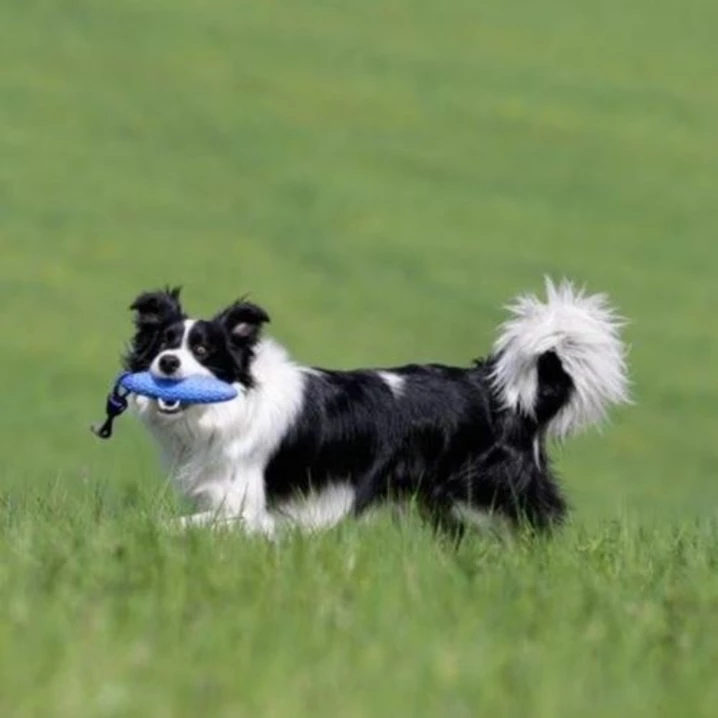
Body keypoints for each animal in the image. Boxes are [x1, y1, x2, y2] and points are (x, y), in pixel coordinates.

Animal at [124, 282, 632, 540]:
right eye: (164, 343)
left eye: (203, 351)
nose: (167, 364)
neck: (233, 404)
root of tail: (498, 390)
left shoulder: (247, 509)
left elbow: (177, 524)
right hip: (443, 502)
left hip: (498, 489)